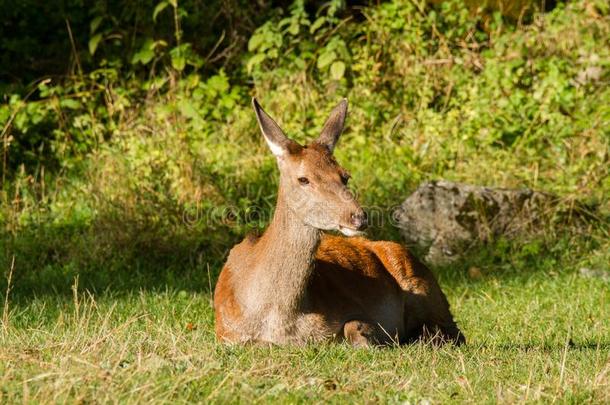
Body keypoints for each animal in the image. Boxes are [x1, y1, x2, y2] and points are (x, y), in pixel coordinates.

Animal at [211, 98, 464, 348]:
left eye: (345, 176)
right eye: (303, 179)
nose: (358, 217)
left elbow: (354, 327)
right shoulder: (227, 334)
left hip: (425, 289)